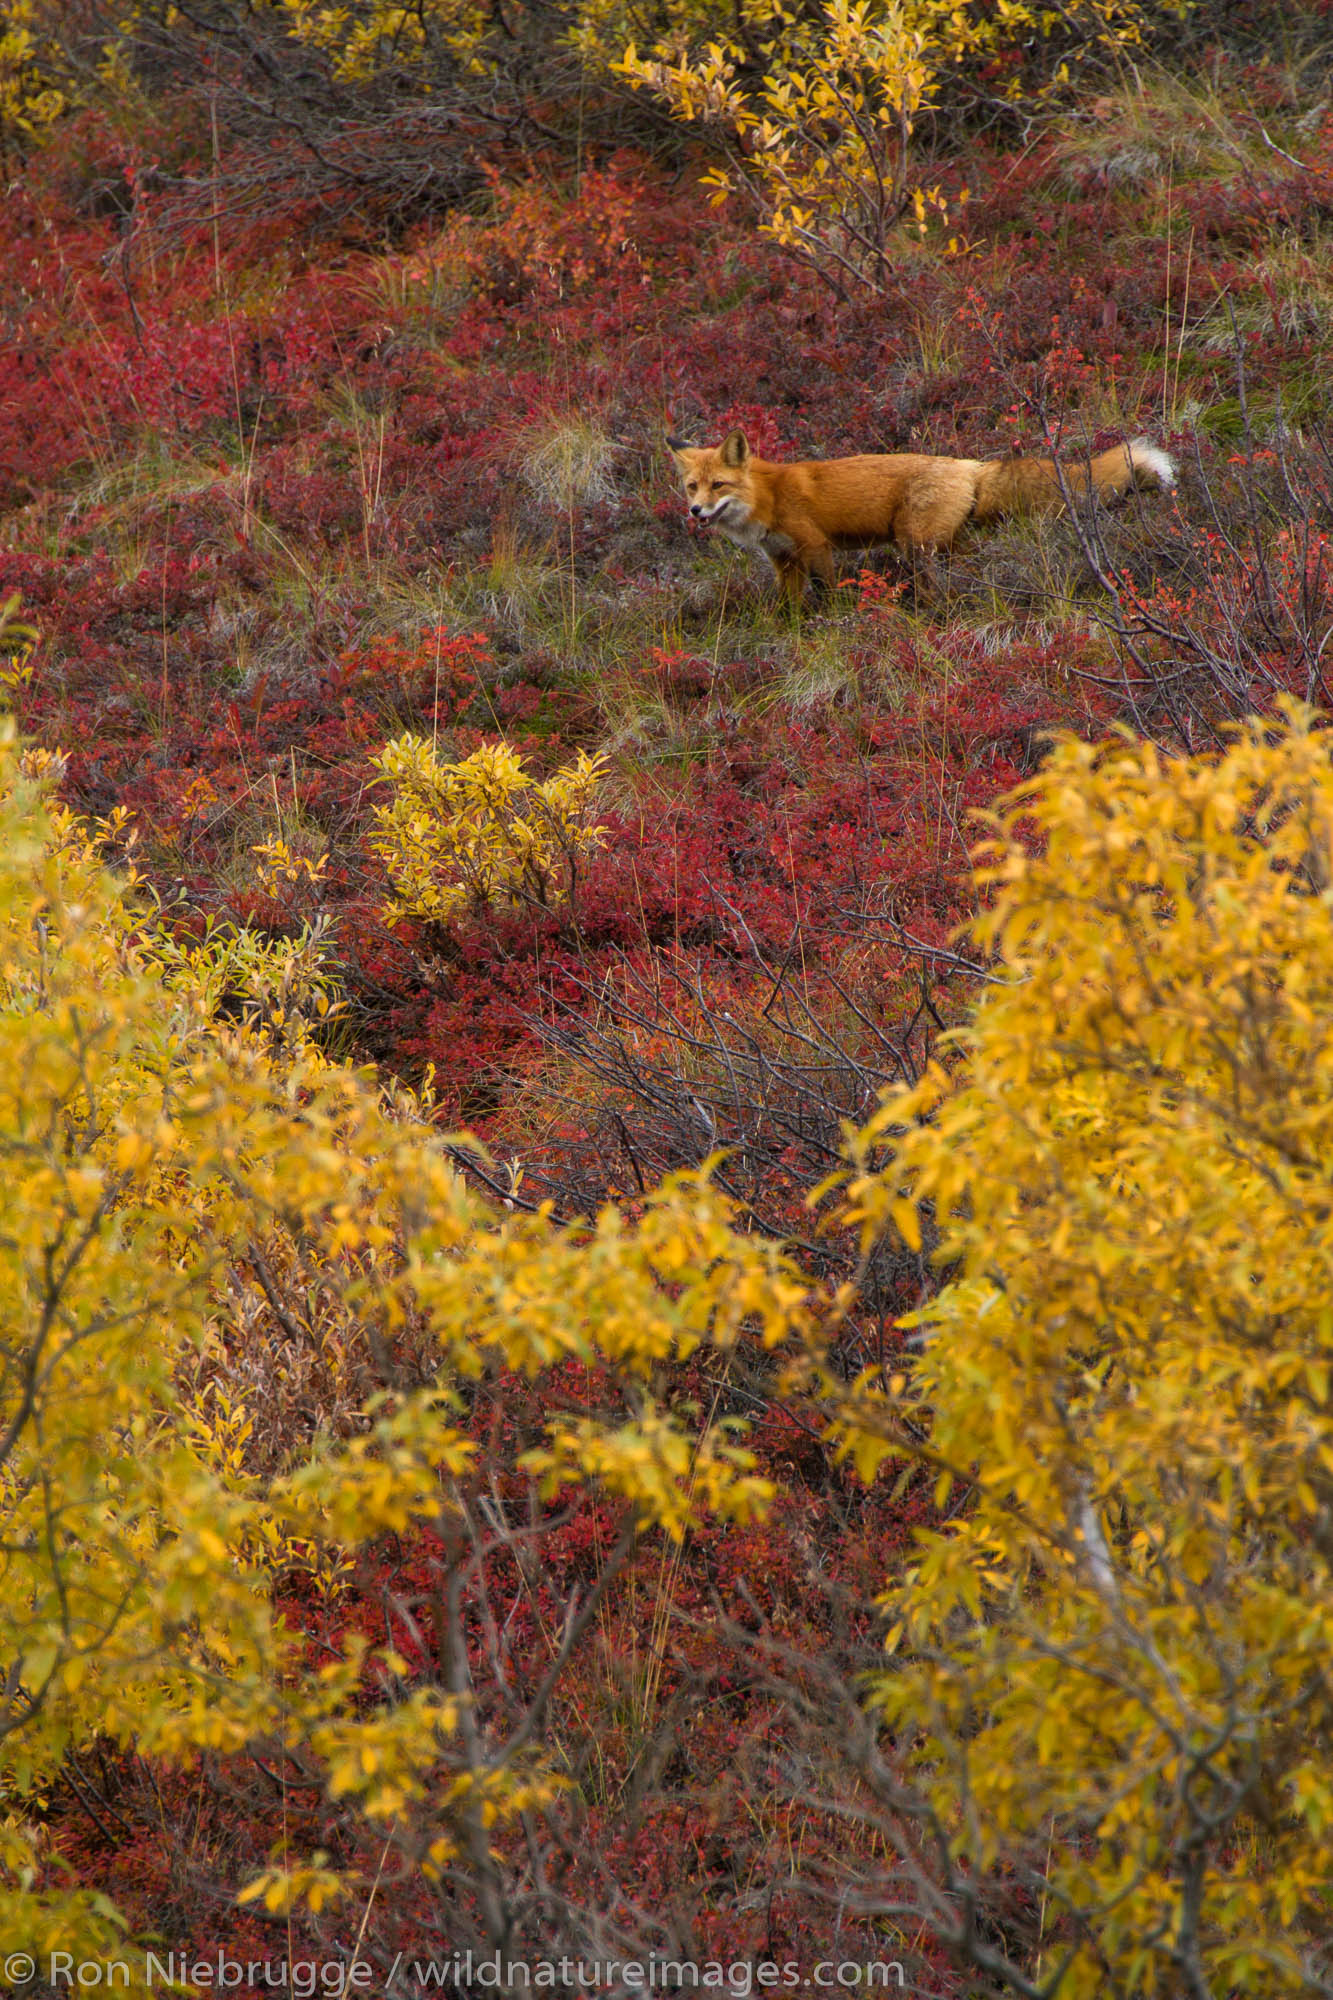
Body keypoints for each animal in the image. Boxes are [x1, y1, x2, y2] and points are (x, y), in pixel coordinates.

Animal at [664, 428, 1176, 600]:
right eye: (692, 486)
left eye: (718, 485)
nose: (695, 511)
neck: (768, 498)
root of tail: (969, 464)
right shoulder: (783, 561)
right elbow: (788, 609)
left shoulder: (816, 546)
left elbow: (828, 595)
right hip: (941, 543)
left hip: (916, 545)